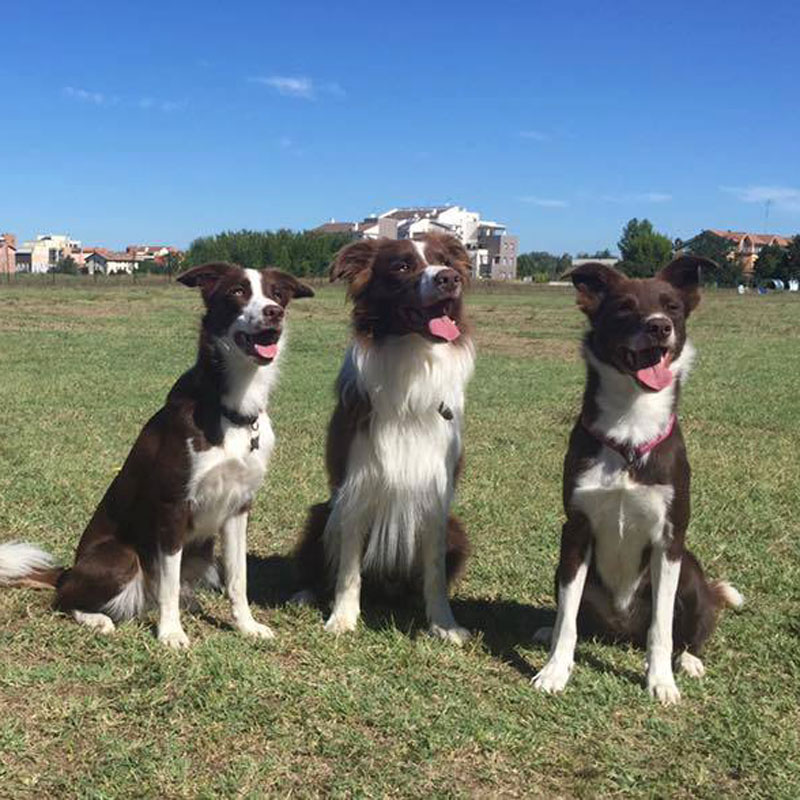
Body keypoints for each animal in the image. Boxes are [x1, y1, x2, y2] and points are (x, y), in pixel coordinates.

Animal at [0, 262, 312, 648]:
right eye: (238, 292)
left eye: (277, 294)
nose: (274, 312)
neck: (232, 407)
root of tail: (68, 571)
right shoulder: (172, 508)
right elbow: (168, 583)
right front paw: (171, 633)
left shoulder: (239, 508)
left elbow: (238, 579)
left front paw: (247, 626)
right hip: (121, 557)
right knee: (64, 598)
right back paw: (97, 618)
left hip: (203, 555)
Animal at [296, 231, 478, 644]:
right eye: (402, 266)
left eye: (446, 261)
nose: (448, 278)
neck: (413, 360)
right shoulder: (357, 485)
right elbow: (349, 567)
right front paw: (343, 618)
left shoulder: (436, 494)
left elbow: (435, 573)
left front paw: (443, 624)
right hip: (320, 513)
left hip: (457, 528)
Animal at [532, 260, 744, 704]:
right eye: (625, 307)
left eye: (673, 306)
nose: (659, 326)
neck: (631, 431)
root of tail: (621, 629)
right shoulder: (575, 531)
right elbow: (567, 619)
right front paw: (556, 670)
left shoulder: (670, 537)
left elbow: (661, 628)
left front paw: (660, 680)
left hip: (691, 571)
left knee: (695, 625)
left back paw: (690, 660)